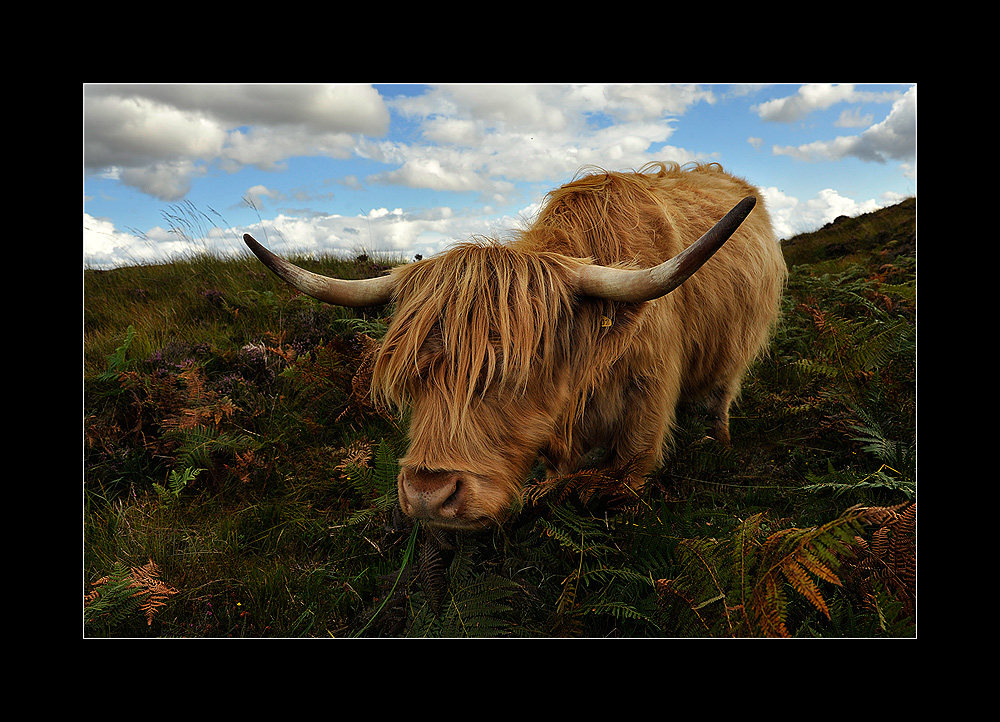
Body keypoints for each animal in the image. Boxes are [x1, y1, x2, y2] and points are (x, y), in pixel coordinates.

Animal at [244, 162, 788, 528]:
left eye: (517, 372)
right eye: (413, 375)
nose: (428, 495)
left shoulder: (644, 422)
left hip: (738, 349)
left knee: (722, 394)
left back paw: (721, 440)